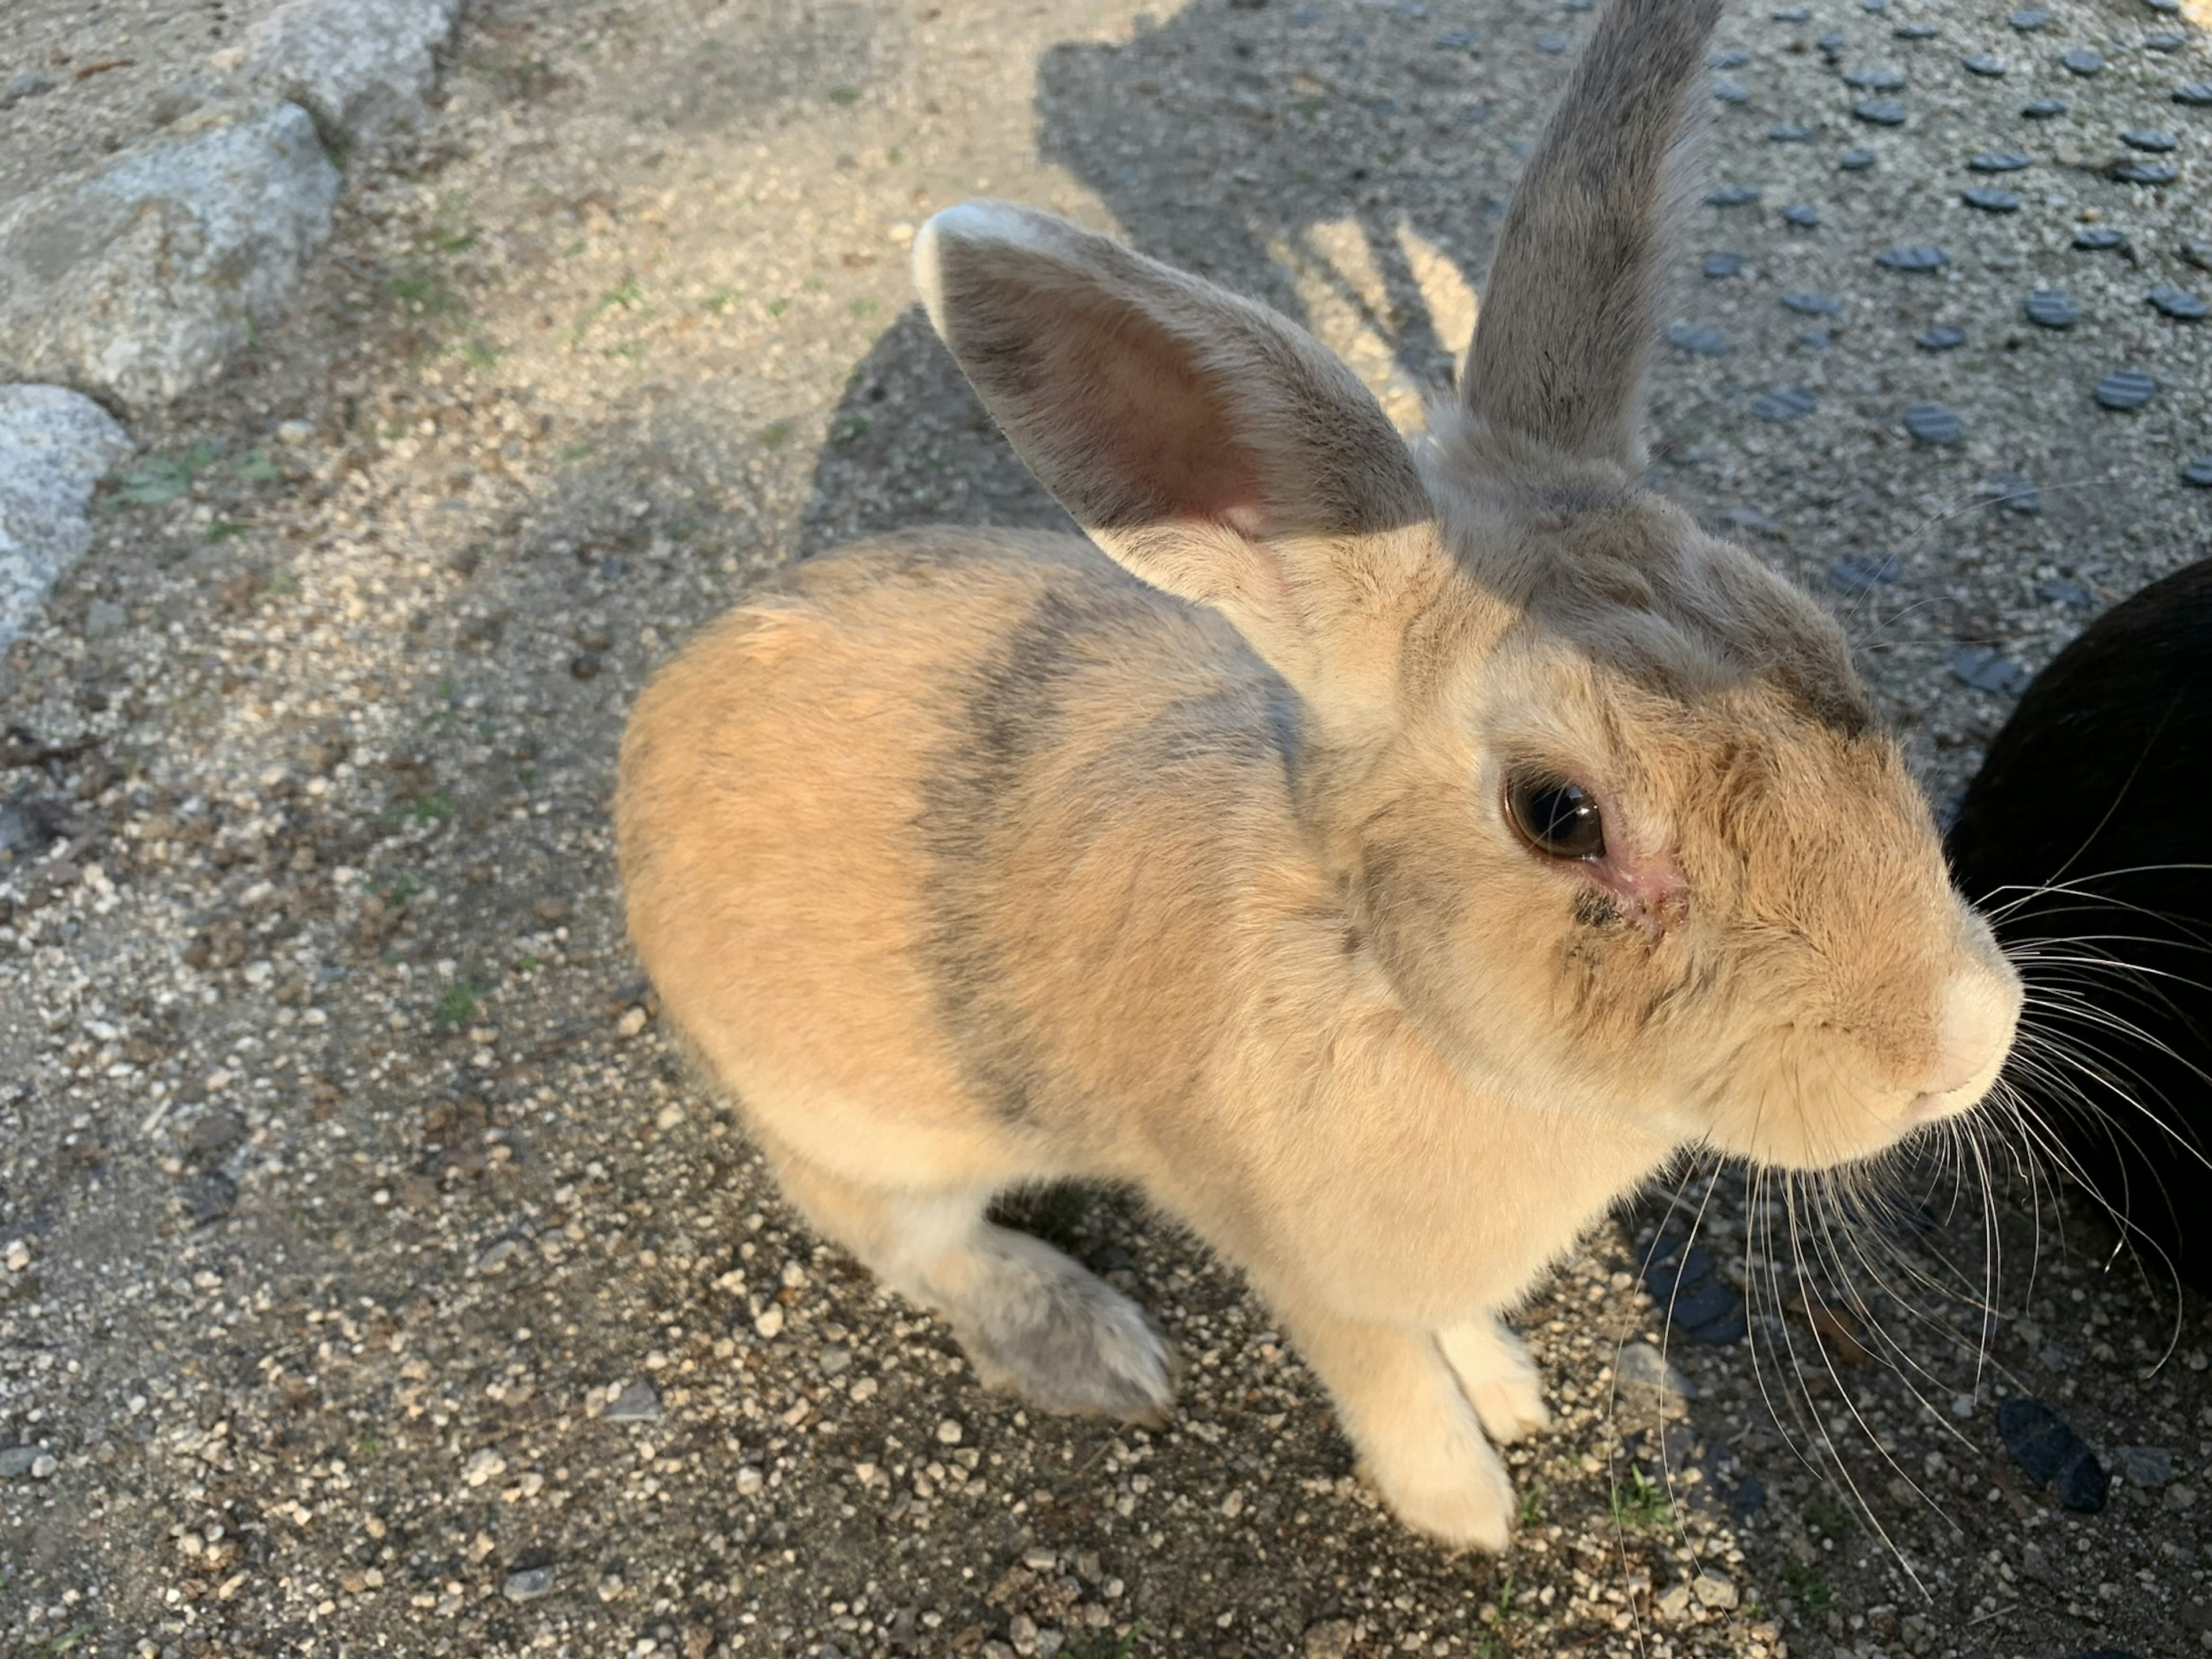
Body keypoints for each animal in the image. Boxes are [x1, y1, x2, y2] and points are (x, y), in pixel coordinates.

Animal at [619, 0, 2026, 1557]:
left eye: (1819, 643)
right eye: (1558, 815)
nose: (1963, 1042)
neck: (1389, 983)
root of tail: (658, 719)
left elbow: (1454, 1329)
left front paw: (1511, 1389)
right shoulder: (1304, 1268)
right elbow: (1384, 1373)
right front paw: (1467, 1503)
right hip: (874, 1129)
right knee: (902, 1241)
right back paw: (1095, 1345)